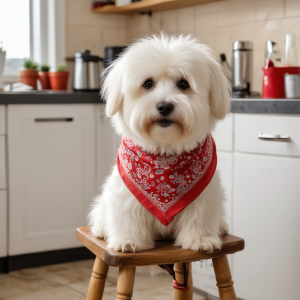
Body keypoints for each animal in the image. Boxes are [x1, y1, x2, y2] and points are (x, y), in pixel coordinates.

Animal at [89, 34, 230, 268]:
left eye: (183, 83)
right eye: (148, 83)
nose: (164, 106)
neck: (164, 155)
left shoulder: (204, 195)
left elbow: (199, 217)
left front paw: (201, 240)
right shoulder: (127, 193)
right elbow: (129, 217)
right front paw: (129, 241)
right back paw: (101, 228)